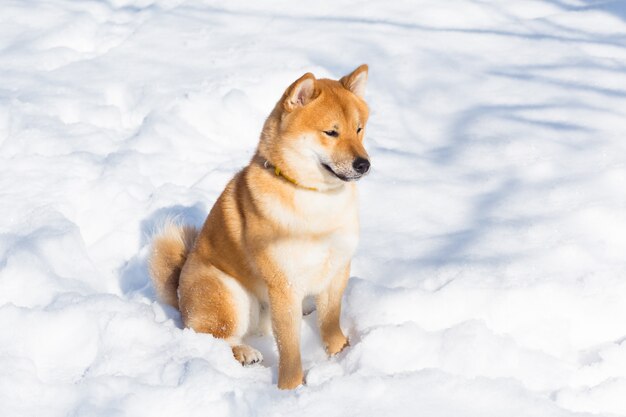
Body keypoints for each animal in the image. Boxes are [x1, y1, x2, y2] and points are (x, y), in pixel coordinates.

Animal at [149, 63, 368, 388]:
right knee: (213, 336)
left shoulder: (337, 267)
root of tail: (179, 293)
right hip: (229, 294)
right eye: (331, 132)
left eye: (359, 129)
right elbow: (289, 348)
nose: (364, 164)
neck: (315, 198)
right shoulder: (283, 284)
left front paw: (341, 352)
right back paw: (243, 352)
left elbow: (330, 321)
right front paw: (290, 387)